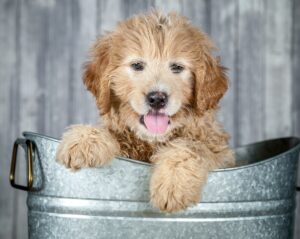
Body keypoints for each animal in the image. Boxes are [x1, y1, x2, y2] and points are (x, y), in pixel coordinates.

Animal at [55, 11, 234, 213]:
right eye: (137, 65)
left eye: (177, 67)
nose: (157, 98)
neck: (153, 141)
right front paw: (83, 140)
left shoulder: (220, 151)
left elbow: (190, 146)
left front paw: (173, 183)